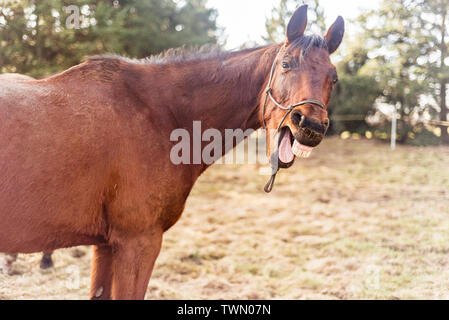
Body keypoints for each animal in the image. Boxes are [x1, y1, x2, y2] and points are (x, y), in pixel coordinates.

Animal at [0, 5, 344, 300]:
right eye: (286, 65)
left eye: (333, 77)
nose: (310, 125)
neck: (159, 112)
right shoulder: (137, 242)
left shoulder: (106, 245)